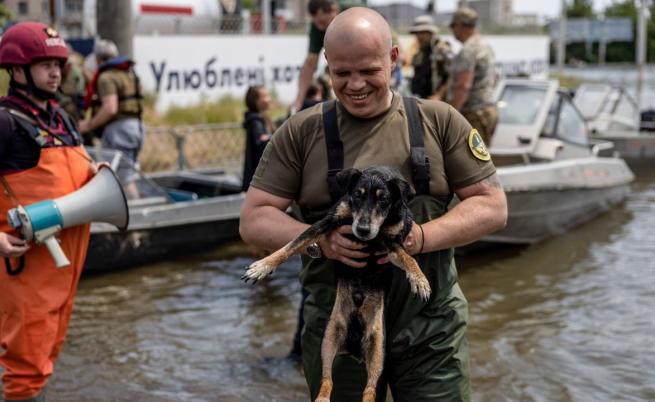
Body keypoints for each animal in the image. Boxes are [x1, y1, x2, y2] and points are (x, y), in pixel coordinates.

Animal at [242, 166, 430, 402]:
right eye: (357, 195)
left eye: (384, 199)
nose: (363, 230)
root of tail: (353, 349)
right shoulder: (327, 222)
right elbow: (291, 245)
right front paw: (262, 266)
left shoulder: (392, 244)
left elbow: (409, 258)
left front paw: (420, 280)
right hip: (328, 340)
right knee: (327, 380)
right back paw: (322, 398)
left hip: (377, 350)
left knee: (369, 389)